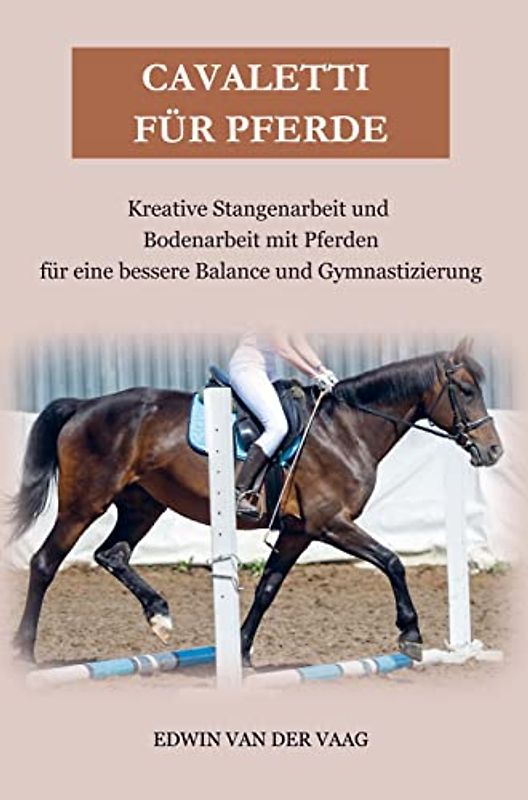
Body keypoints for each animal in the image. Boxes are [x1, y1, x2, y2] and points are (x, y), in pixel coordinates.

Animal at [10, 339, 503, 665]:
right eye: (465, 390)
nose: (494, 451)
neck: (345, 428)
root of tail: (85, 405)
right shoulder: (331, 523)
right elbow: (392, 562)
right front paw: (411, 634)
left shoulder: (298, 532)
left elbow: (268, 588)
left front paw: (241, 651)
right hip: (84, 504)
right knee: (45, 562)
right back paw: (24, 650)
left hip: (142, 505)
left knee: (111, 554)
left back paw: (160, 615)